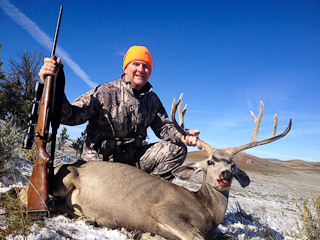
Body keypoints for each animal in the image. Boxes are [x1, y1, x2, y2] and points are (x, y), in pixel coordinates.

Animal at [51, 94, 292, 239]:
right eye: (210, 162)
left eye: (232, 165)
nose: (224, 175)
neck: (205, 211)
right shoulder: (166, 210)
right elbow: (194, 236)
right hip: (66, 178)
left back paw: (85, 217)